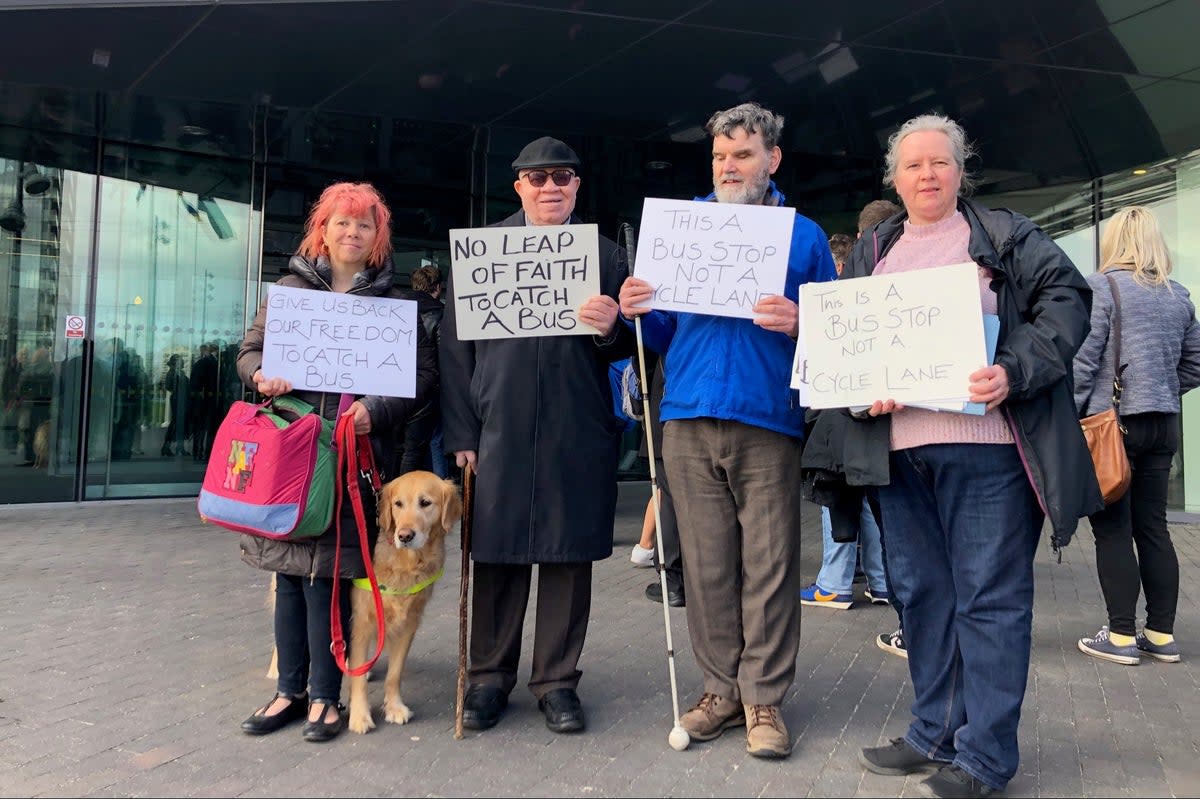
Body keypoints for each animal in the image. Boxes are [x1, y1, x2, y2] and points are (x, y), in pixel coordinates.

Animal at [348, 467, 463, 734]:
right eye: (398, 504)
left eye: (425, 503)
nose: (405, 536)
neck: (407, 562)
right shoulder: (362, 620)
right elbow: (357, 680)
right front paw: (359, 716)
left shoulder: (409, 622)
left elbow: (394, 673)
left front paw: (394, 707)